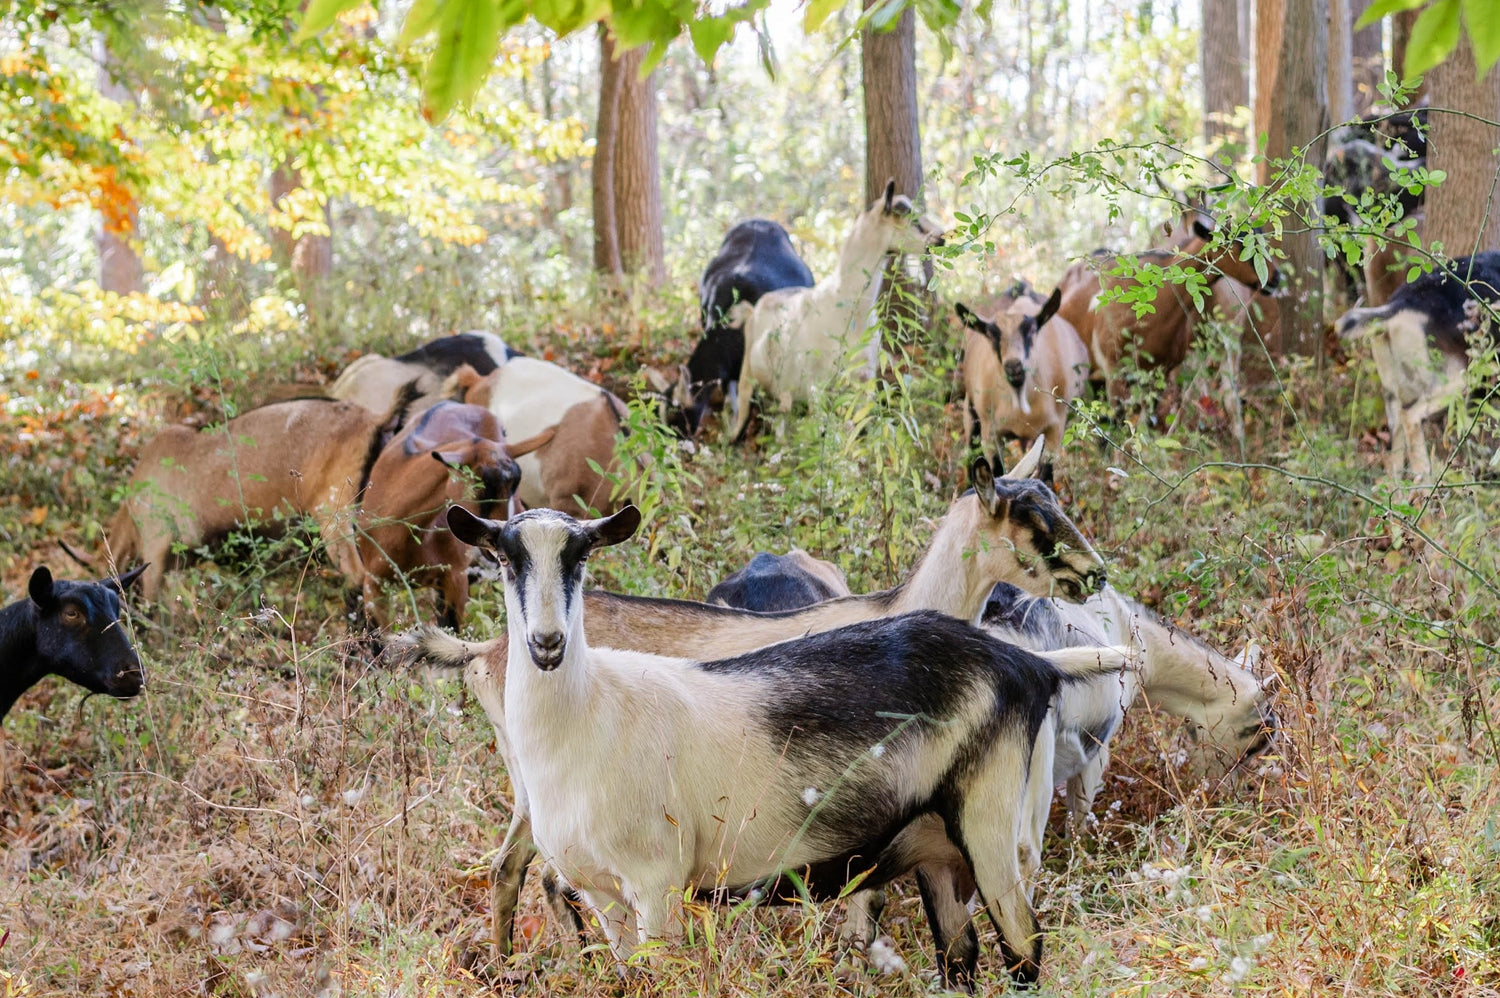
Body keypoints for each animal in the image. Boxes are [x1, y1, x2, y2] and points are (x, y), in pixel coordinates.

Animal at [727, 181, 945, 442]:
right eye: (908, 216)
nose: (942, 236)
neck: (846, 308)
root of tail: (754, 309)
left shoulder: (864, 378)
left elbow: (858, 429)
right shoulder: (816, 386)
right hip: (749, 377)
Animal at [956, 289, 1089, 484]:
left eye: (1032, 330)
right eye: (991, 336)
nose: (1014, 366)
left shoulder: (1056, 428)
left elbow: (1046, 476)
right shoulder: (990, 431)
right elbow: (996, 471)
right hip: (971, 412)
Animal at [1336, 251, 1500, 479]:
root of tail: (1398, 307)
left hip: (1393, 392)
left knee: (1395, 450)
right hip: (1458, 379)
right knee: (1411, 416)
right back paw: (1425, 476)